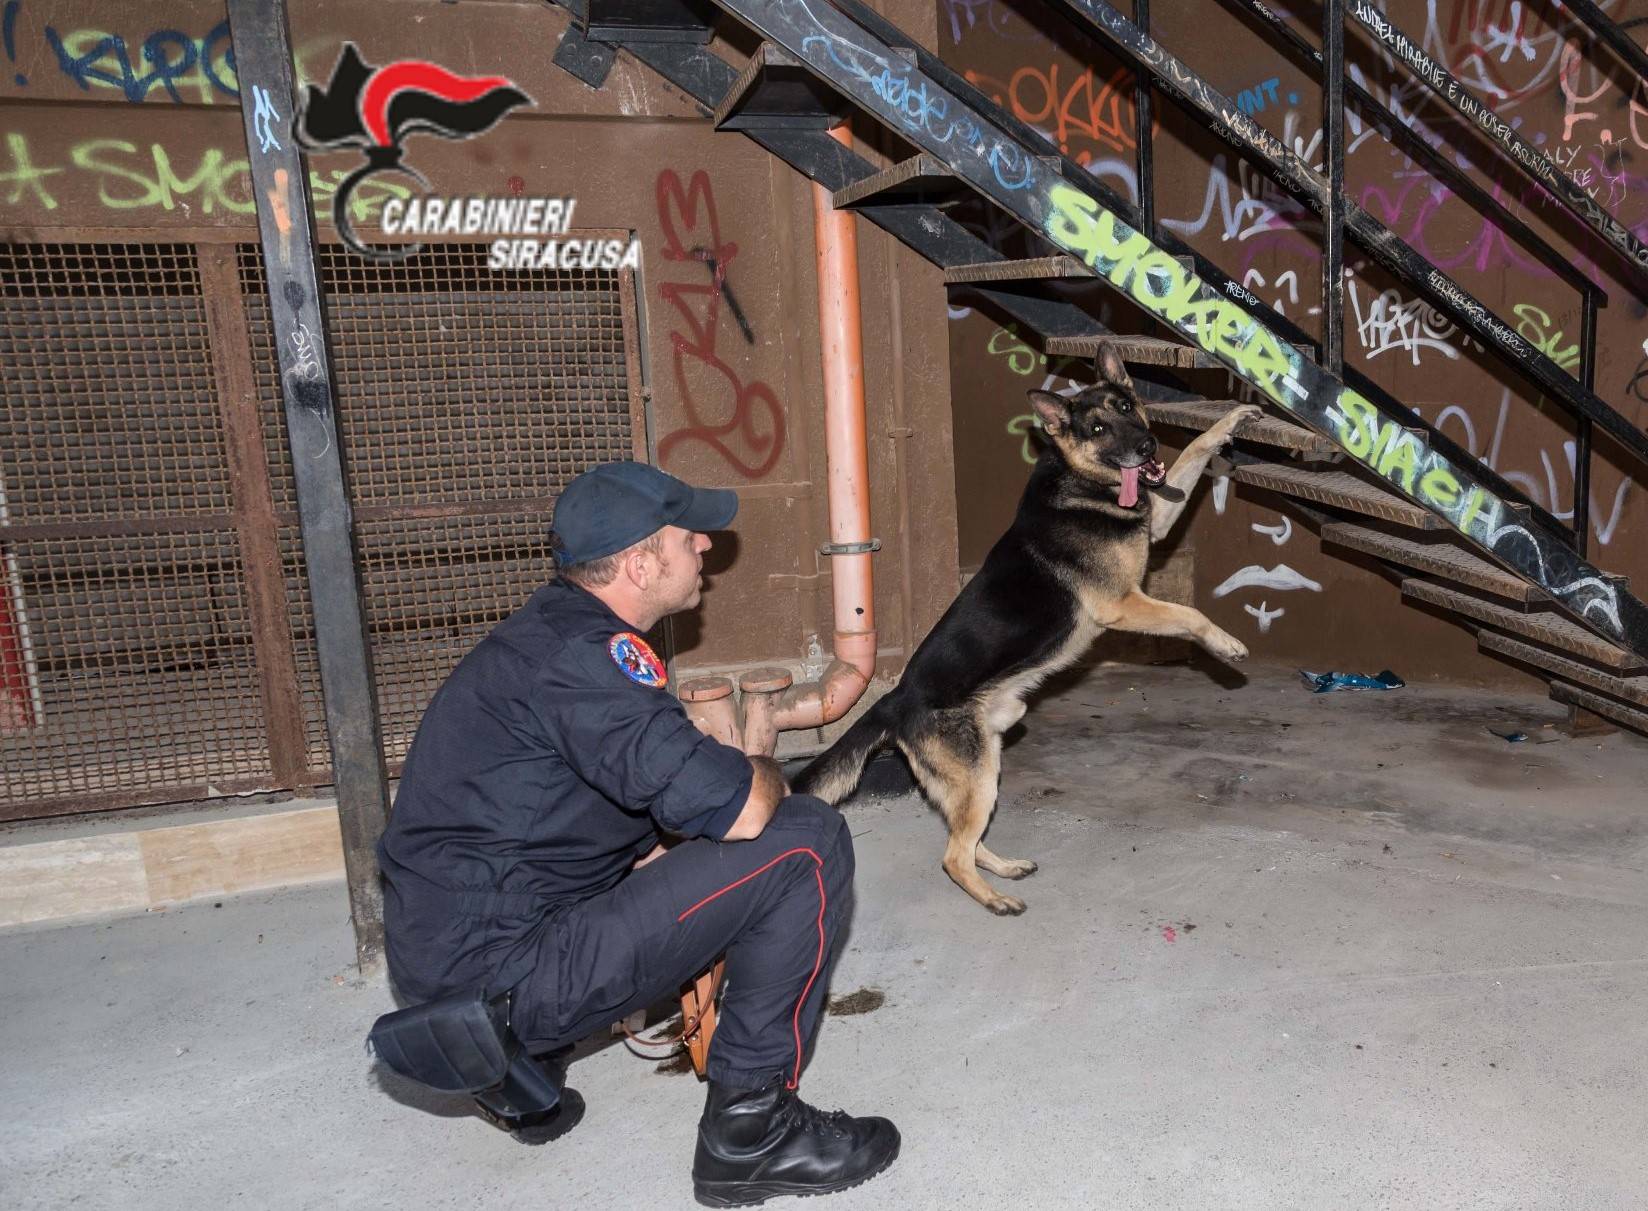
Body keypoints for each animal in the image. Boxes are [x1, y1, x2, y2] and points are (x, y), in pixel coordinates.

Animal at [797, 350, 1259, 916]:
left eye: (1127, 407)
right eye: (1098, 428)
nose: (1147, 448)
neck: (1080, 479)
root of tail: (894, 700)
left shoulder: (1162, 521)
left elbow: (1192, 453)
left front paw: (1230, 421)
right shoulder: (1122, 605)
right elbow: (1190, 615)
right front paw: (1226, 644)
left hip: (983, 768)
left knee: (964, 839)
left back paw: (1002, 868)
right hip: (976, 774)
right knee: (952, 856)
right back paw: (995, 900)